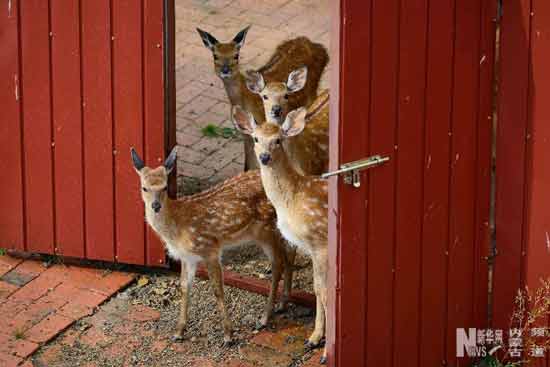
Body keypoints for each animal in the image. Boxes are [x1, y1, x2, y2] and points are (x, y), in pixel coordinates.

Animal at [130, 147, 294, 344]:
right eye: (144, 187)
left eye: (164, 187)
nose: (155, 205)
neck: (178, 226)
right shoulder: (187, 257)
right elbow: (184, 287)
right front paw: (178, 332)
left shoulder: (210, 248)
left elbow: (217, 289)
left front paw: (228, 335)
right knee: (289, 255)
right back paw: (282, 304)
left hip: (266, 229)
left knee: (278, 263)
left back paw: (264, 318)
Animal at [197, 26, 330, 172]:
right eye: (215, 55)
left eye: (236, 55)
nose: (225, 70)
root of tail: (318, 46)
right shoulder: (247, 135)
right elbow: (248, 166)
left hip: (313, 95)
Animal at [234, 107, 332, 366]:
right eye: (255, 138)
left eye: (278, 140)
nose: (264, 157)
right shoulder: (311, 247)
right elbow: (317, 288)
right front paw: (315, 338)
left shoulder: (321, 243)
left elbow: (324, 290)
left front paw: (324, 350)